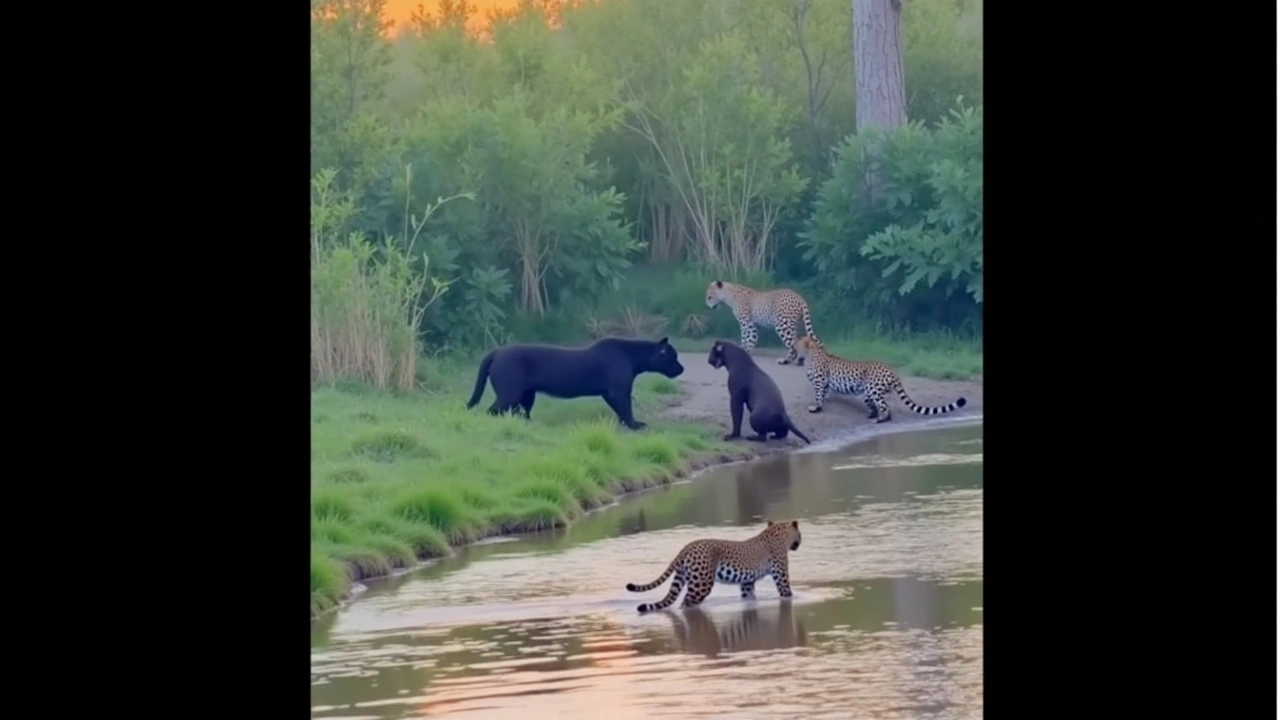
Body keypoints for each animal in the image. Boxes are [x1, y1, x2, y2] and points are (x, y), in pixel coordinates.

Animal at [622, 515, 798, 609]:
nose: (799, 543)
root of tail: (687, 546)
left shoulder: (747, 582)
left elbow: (748, 596)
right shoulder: (781, 574)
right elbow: (787, 591)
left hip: (681, 577)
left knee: (673, 599)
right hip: (702, 583)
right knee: (687, 601)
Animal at [788, 335, 967, 420]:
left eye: (797, 342)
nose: (792, 344)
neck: (811, 352)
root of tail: (891, 370)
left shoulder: (820, 382)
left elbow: (818, 396)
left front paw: (816, 408)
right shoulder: (824, 383)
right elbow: (824, 394)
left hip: (872, 389)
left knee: (885, 407)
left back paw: (880, 419)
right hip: (867, 393)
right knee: (877, 406)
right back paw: (872, 415)